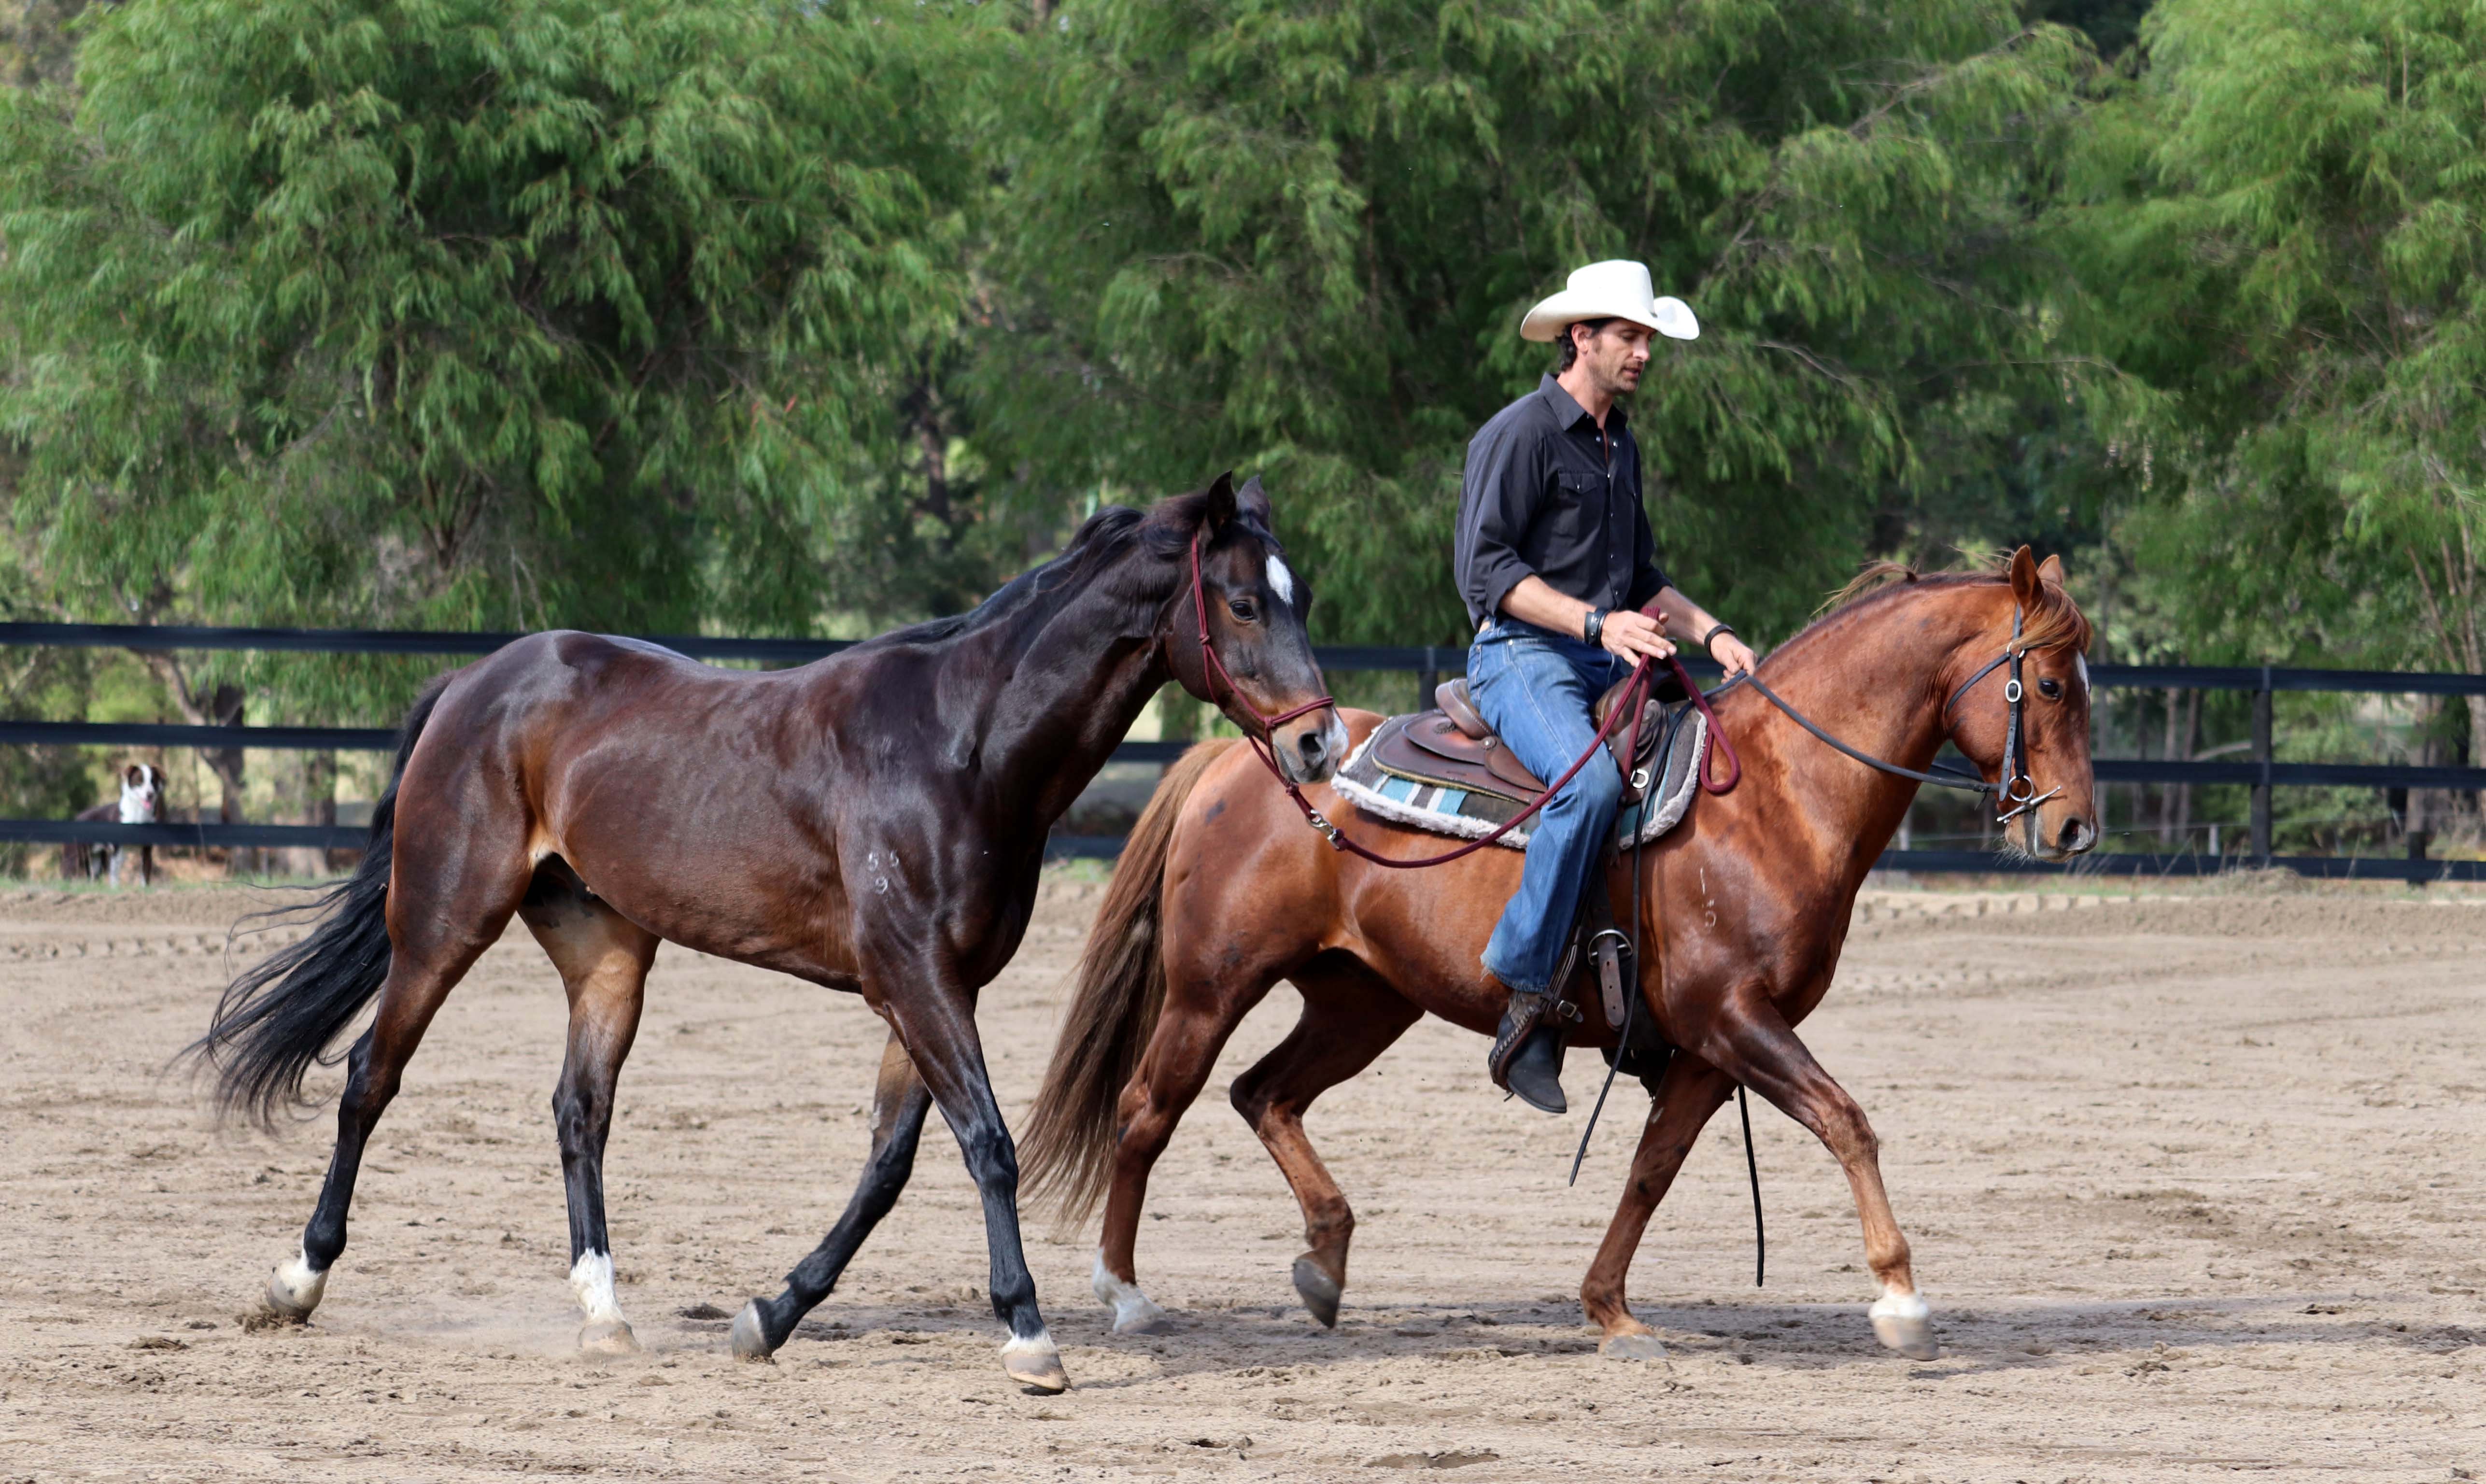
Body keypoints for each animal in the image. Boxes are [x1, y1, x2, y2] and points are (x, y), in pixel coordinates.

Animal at [188, 472, 1347, 1393]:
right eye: (1245, 602)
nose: (1322, 745)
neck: (957, 744)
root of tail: (475, 682)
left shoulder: (937, 988)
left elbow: (887, 1168)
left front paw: (770, 1316)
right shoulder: (917, 981)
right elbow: (988, 1145)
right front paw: (1027, 1334)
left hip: (608, 954)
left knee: (579, 1111)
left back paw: (605, 1314)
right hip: (441, 924)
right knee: (368, 1081)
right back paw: (297, 1280)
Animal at [1019, 548, 2096, 1361]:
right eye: (2046, 682)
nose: (2077, 827)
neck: (1773, 798)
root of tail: (1235, 759)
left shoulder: (1707, 1050)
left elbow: (1651, 1169)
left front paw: (1609, 1308)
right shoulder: (1735, 1018)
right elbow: (1847, 1122)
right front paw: (1901, 1298)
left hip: (1362, 1000)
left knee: (1266, 1094)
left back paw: (1325, 1264)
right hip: (1212, 986)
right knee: (1148, 1109)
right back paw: (1123, 1292)